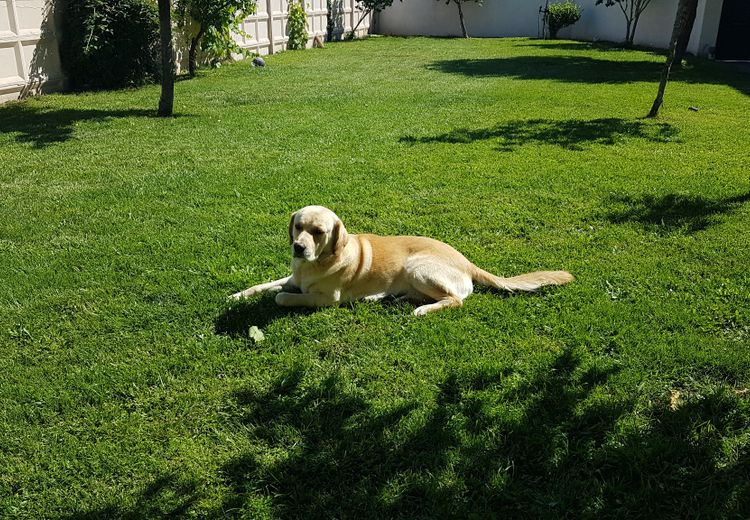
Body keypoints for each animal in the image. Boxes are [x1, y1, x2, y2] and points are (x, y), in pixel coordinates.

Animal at [229, 205, 576, 314]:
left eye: (319, 232)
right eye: (298, 227)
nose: (299, 248)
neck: (313, 265)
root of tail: (467, 262)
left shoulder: (327, 300)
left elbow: (281, 297)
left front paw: (278, 298)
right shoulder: (291, 277)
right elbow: (264, 285)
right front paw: (237, 295)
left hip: (417, 267)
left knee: (455, 300)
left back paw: (422, 309)